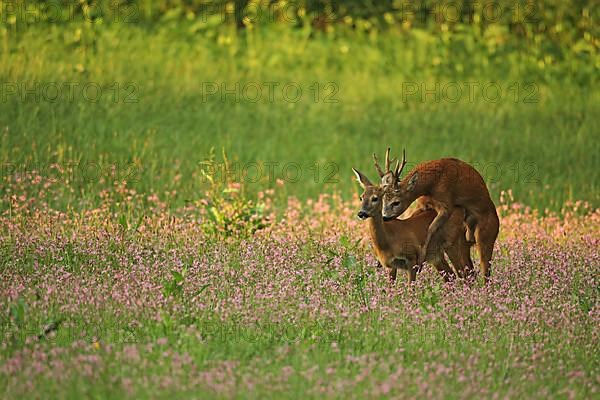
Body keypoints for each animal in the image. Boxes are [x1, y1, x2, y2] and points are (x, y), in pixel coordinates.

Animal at [378, 148, 500, 282]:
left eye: (396, 202)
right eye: (382, 199)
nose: (384, 217)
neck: (432, 183)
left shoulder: (446, 203)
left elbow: (430, 229)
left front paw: (420, 260)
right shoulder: (423, 203)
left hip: (486, 235)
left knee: (484, 273)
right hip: (464, 244)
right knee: (469, 272)